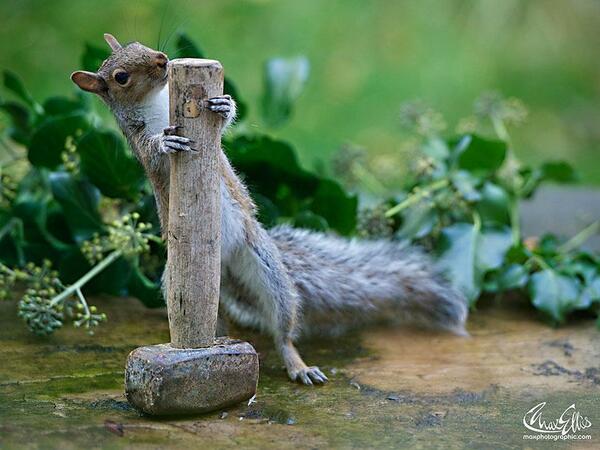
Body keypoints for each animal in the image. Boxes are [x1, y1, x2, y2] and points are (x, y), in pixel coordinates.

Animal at [71, 34, 468, 386]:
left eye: (139, 44)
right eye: (121, 77)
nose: (162, 59)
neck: (156, 106)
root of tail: (225, 265)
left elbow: (222, 132)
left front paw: (225, 106)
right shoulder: (141, 147)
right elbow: (155, 152)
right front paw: (167, 142)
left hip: (267, 270)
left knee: (283, 332)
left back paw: (296, 363)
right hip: (178, 286)